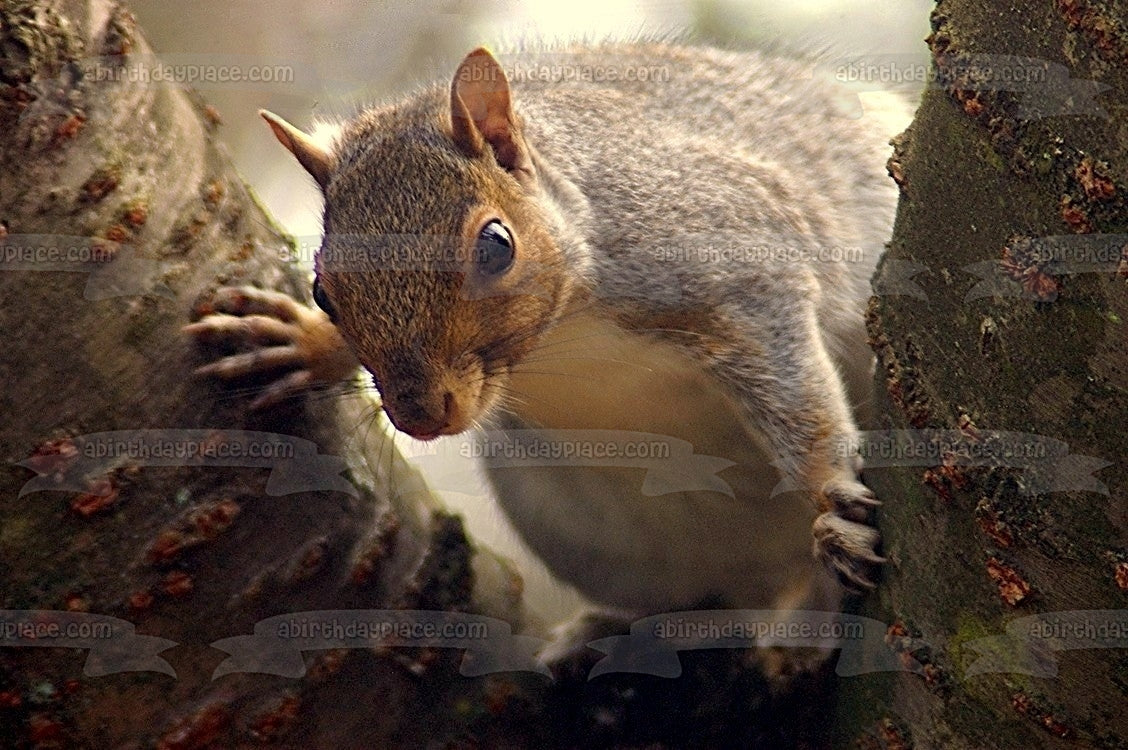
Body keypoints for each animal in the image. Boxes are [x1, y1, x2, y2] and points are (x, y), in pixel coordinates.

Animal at [184, 42, 906, 654]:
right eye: (323, 289)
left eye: (496, 245)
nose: (420, 416)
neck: (558, 334)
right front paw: (302, 342)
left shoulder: (737, 275)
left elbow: (800, 407)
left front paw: (834, 503)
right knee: (720, 605)